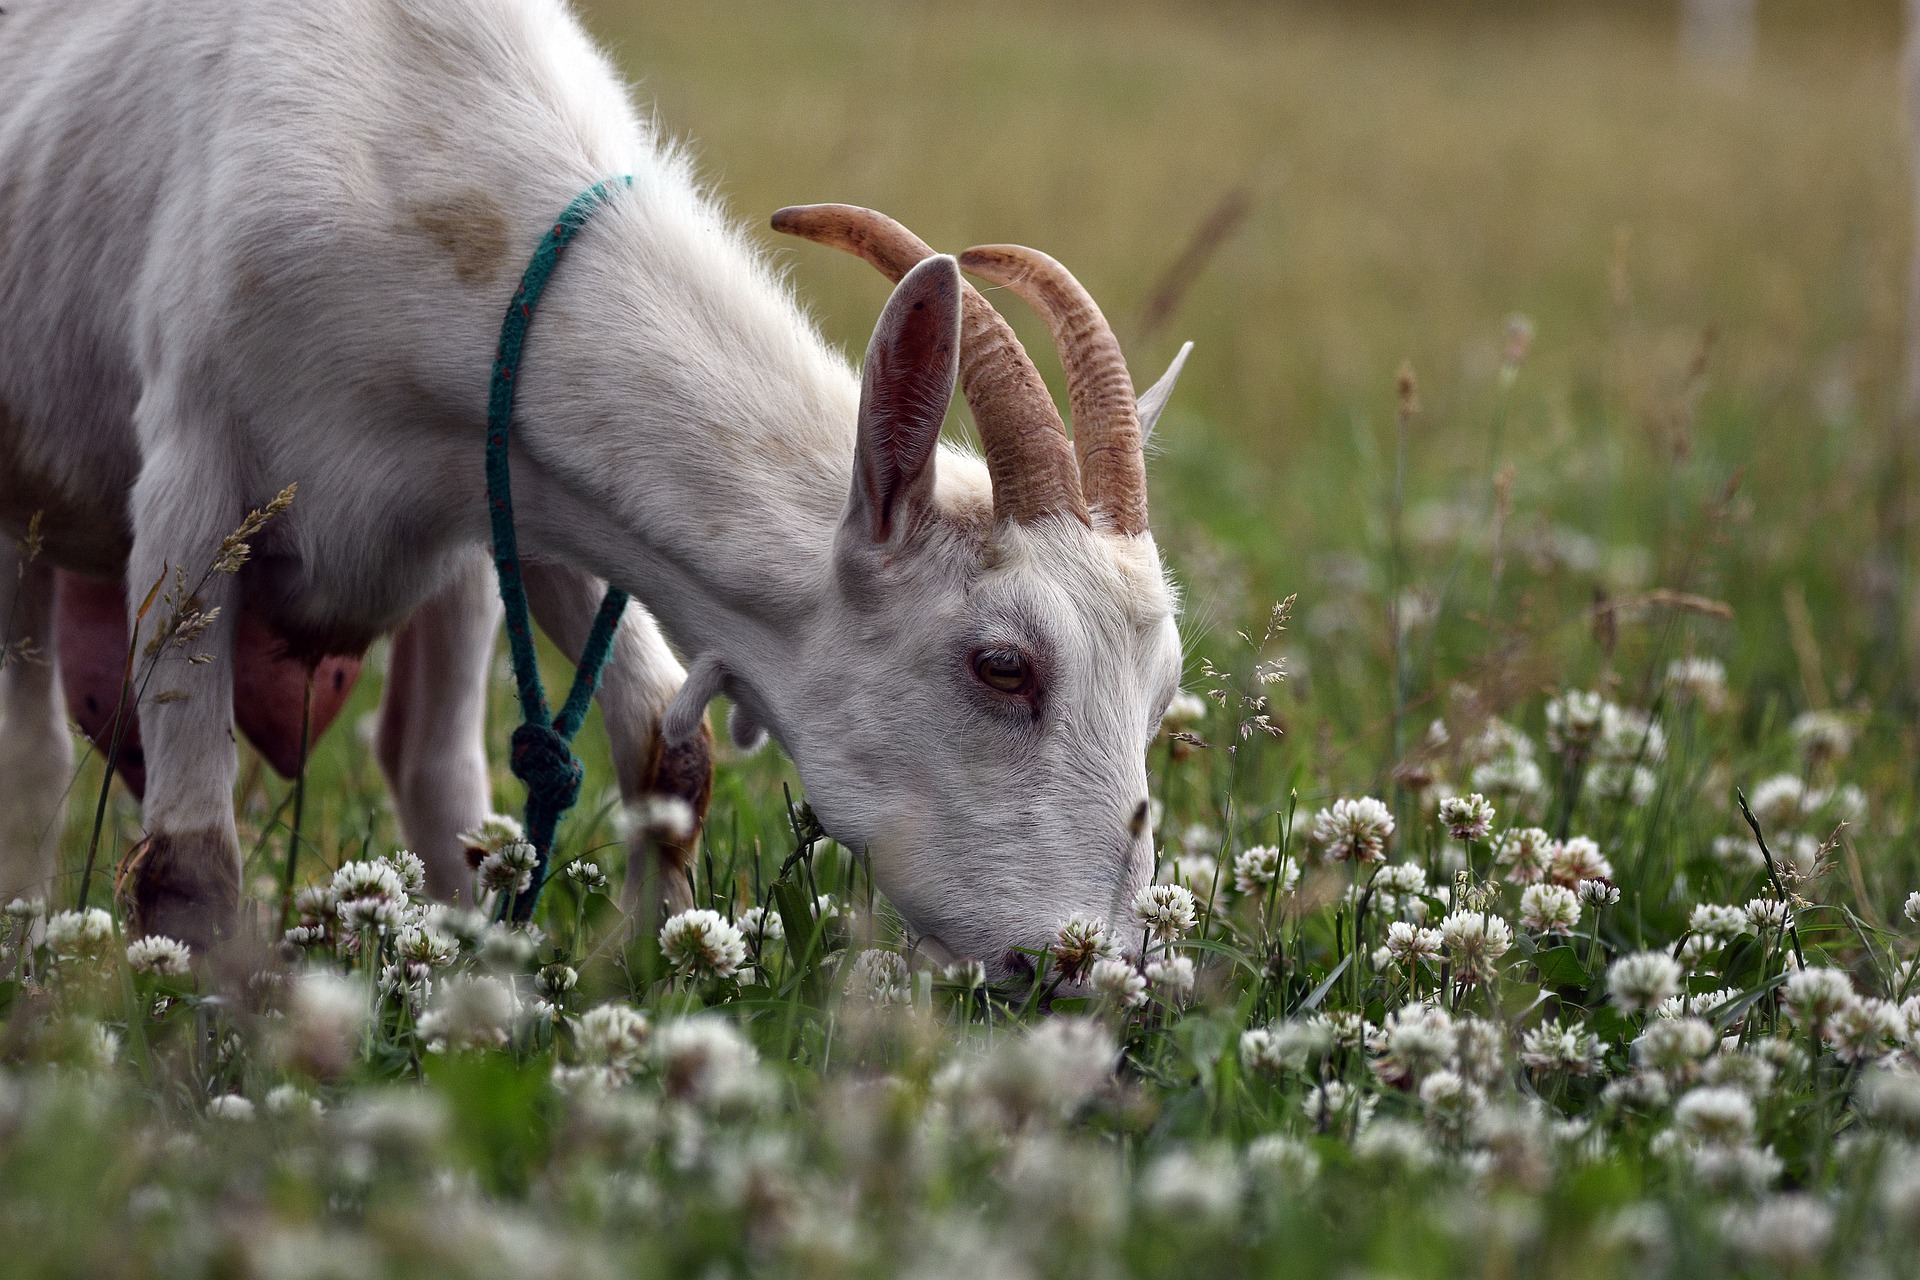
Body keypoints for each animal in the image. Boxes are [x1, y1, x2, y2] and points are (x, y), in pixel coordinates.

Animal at [0, 0, 1187, 976]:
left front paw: (652, 973)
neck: (422, 162)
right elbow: (187, 869)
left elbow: (670, 750)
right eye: (1002, 665)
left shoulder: (521, 492)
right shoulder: (196, 492)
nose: (1093, 966)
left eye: (1164, 687)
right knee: (37, 758)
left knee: (428, 769)